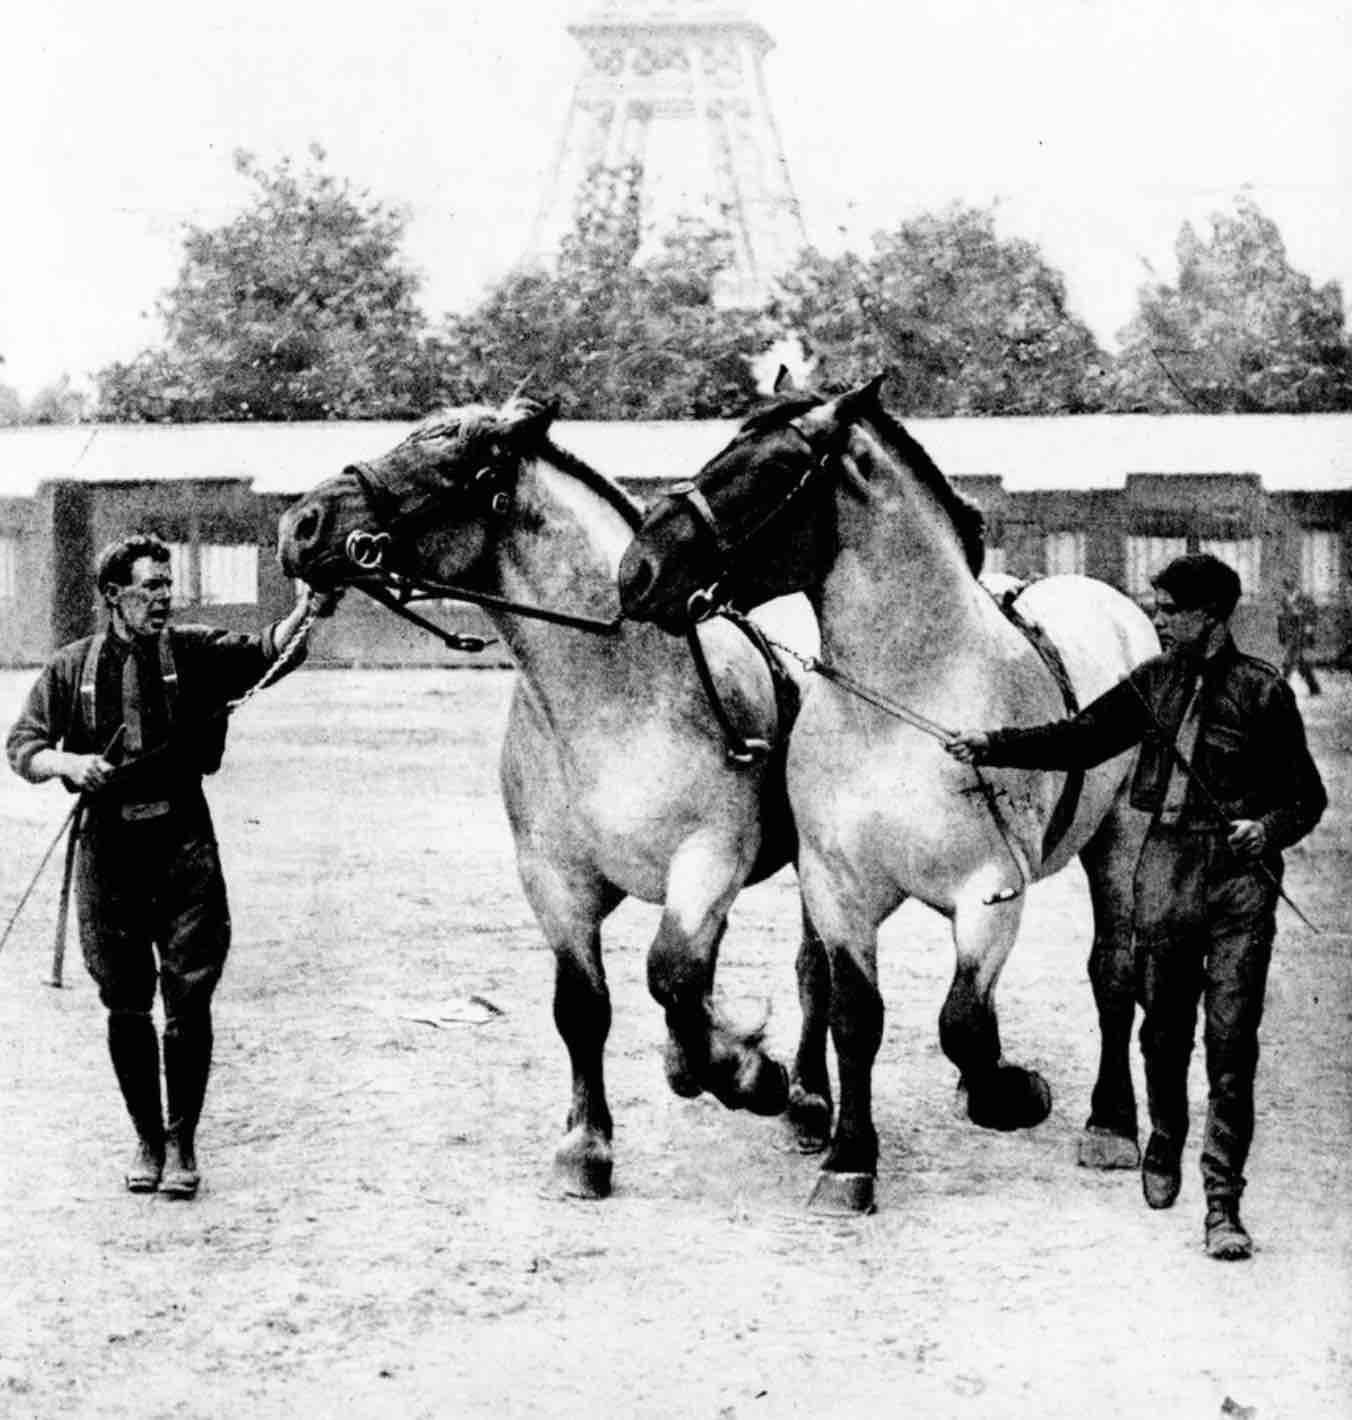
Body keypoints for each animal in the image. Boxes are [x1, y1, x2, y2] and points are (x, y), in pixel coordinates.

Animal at [274, 397, 829, 1198]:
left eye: (453, 455)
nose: (300, 526)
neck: (614, 693)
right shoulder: (553, 879)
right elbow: (586, 1007)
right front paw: (587, 1145)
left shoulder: (711, 856)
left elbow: (670, 974)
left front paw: (751, 1075)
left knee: (815, 971)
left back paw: (808, 1100)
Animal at [619, 380, 1158, 1221]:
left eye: (772, 470)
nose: (636, 572)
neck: (906, 699)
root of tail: (1117, 607)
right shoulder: (838, 888)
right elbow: (857, 1017)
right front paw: (848, 1161)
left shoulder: (992, 892)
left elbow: (962, 1023)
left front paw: (1016, 1092)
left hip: (1118, 842)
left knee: (1113, 974)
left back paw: (1110, 1125)